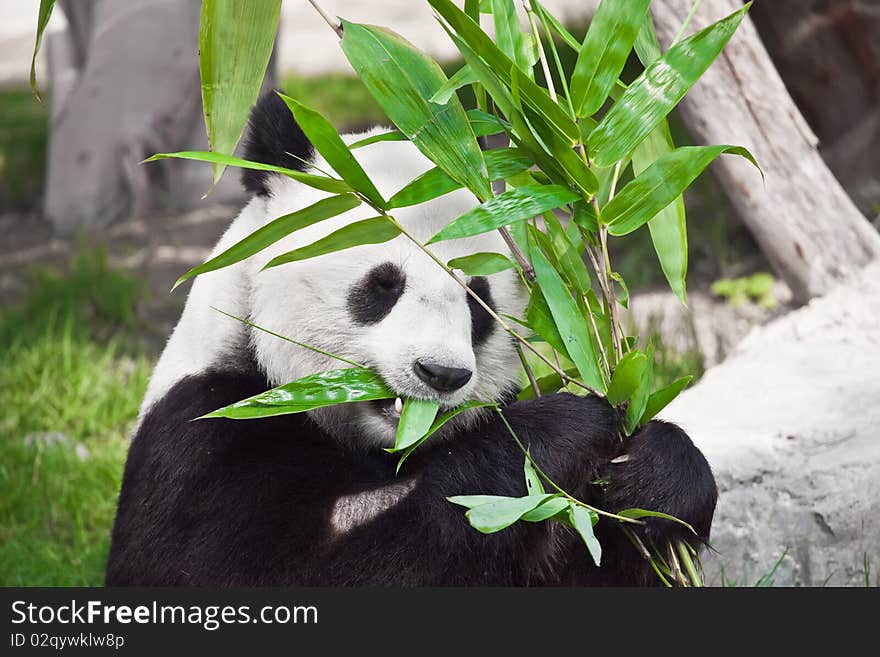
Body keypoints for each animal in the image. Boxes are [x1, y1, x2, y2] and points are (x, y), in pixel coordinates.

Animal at [106, 91, 720, 584]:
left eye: (478, 302)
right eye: (383, 286)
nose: (441, 374)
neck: (388, 448)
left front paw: (659, 475)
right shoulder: (209, 432)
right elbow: (263, 570)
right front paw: (559, 431)